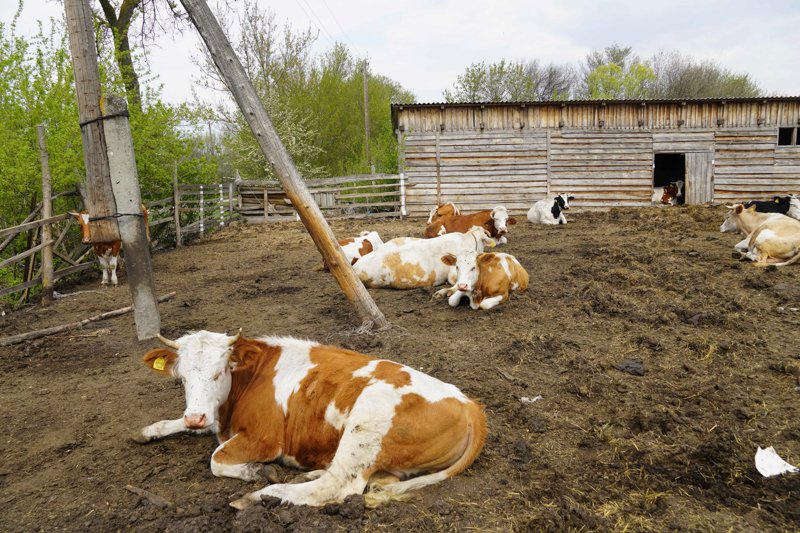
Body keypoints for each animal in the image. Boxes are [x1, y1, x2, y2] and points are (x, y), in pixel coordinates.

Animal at [136, 328, 488, 508]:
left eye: (218, 372)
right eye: (182, 378)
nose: (195, 417)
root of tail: (469, 404)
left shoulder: (265, 439)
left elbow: (216, 459)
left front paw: (255, 472)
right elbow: (182, 424)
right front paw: (150, 429)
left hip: (366, 426)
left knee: (338, 486)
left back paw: (264, 496)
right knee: (370, 480)